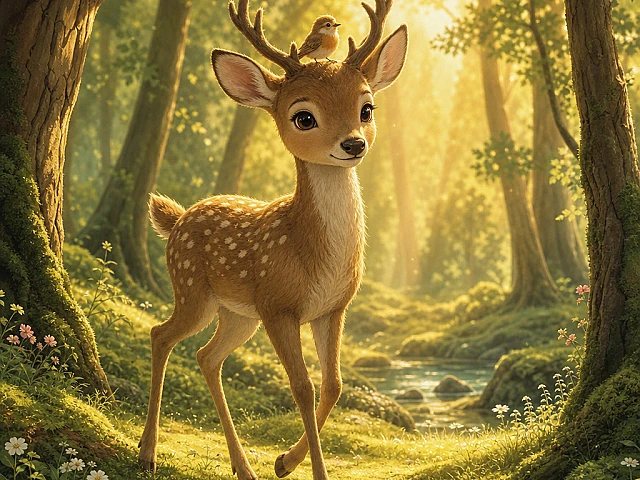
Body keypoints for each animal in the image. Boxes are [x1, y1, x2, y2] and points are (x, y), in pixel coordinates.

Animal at [137, 0, 408, 478]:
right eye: (304, 117)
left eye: (367, 108)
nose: (353, 144)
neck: (315, 255)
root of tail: (178, 218)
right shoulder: (279, 306)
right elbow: (301, 387)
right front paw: (310, 469)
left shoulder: (333, 308)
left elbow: (334, 384)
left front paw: (284, 462)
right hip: (193, 290)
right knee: (160, 334)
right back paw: (148, 452)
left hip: (238, 314)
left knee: (207, 356)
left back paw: (243, 466)